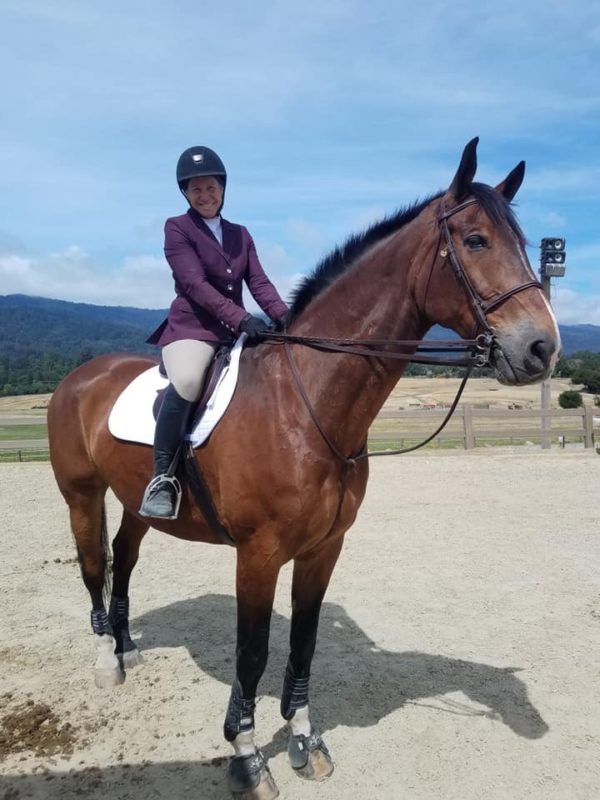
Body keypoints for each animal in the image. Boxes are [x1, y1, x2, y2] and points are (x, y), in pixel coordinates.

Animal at [48, 138, 560, 799]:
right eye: (475, 241)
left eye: (525, 244)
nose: (543, 349)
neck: (306, 401)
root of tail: (82, 376)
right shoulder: (258, 554)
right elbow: (253, 654)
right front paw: (247, 758)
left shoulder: (324, 548)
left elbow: (304, 644)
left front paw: (304, 743)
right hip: (81, 493)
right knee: (94, 563)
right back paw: (108, 660)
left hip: (138, 499)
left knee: (125, 556)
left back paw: (129, 646)